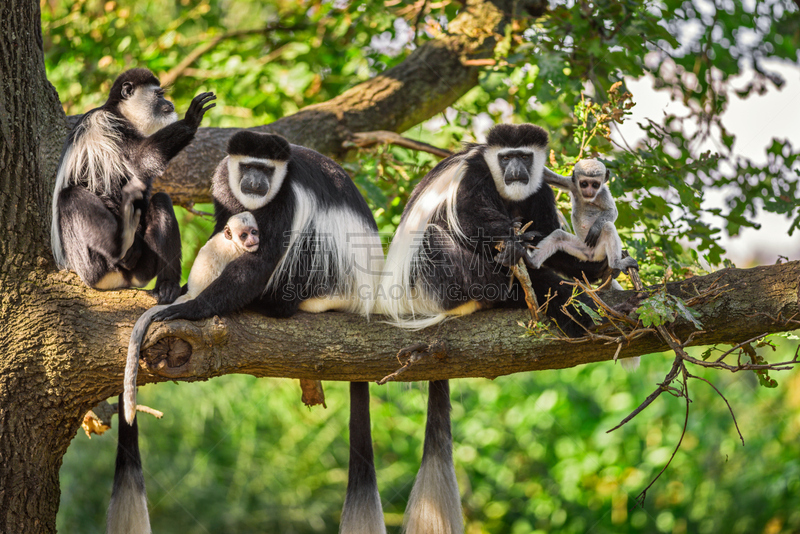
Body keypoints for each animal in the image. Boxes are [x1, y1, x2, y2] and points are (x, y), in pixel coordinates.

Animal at [51, 68, 217, 304]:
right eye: (159, 94)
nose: (170, 103)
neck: (121, 113)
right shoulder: (108, 124)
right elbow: (140, 159)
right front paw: (191, 120)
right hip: (89, 263)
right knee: (71, 196)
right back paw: (121, 248)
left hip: (144, 267)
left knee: (160, 200)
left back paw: (167, 287)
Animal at [122, 211, 260, 426]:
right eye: (244, 235)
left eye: (253, 232)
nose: (253, 240)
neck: (231, 242)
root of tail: (191, 294)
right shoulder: (237, 253)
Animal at [143, 132, 388, 532]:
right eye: (248, 166)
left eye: (267, 170)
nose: (255, 182)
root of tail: (362, 297)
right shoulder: (222, 182)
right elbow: (222, 230)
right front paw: (181, 289)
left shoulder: (286, 199)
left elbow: (263, 258)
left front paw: (193, 307)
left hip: (327, 277)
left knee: (307, 240)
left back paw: (271, 305)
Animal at [382, 124, 608, 534]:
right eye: (505, 158)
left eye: (525, 156)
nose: (516, 170)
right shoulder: (473, 175)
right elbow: (472, 220)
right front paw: (517, 246)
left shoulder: (540, 188)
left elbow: (549, 232)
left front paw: (589, 263)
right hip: (434, 283)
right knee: (438, 238)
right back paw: (521, 289)